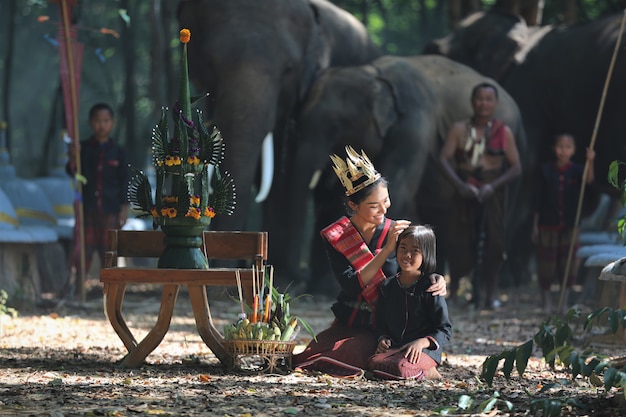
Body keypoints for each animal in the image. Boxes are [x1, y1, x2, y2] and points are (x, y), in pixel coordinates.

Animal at [290, 55, 524, 294]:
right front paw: (324, 288)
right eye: (298, 122)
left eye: (338, 123)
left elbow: (399, 188)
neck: (372, 72)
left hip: (516, 145)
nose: (298, 281)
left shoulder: (414, 126)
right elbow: (330, 199)